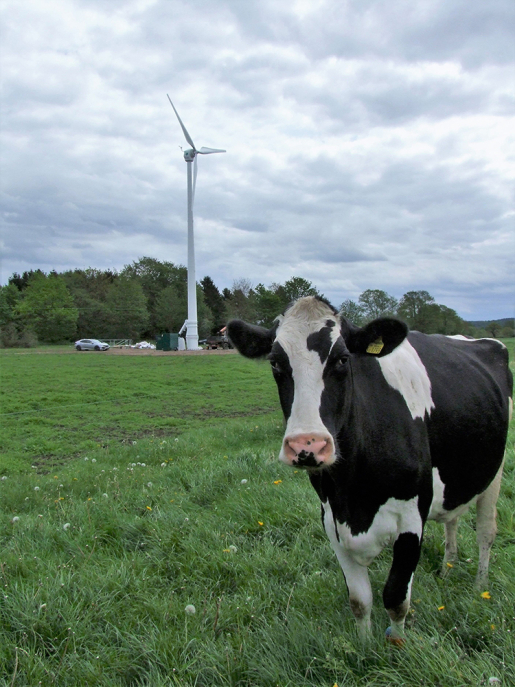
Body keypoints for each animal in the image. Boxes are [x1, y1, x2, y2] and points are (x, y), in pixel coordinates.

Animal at [228, 296, 512, 644]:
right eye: (275, 363)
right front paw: (364, 647)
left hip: (495, 471)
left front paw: (397, 646)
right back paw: (447, 570)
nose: (307, 445)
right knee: (452, 520)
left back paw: (479, 587)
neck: (354, 494)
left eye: (342, 360)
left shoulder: (411, 519)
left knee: (486, 531)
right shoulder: (332, 518)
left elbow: (396, 598)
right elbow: (359, 599)